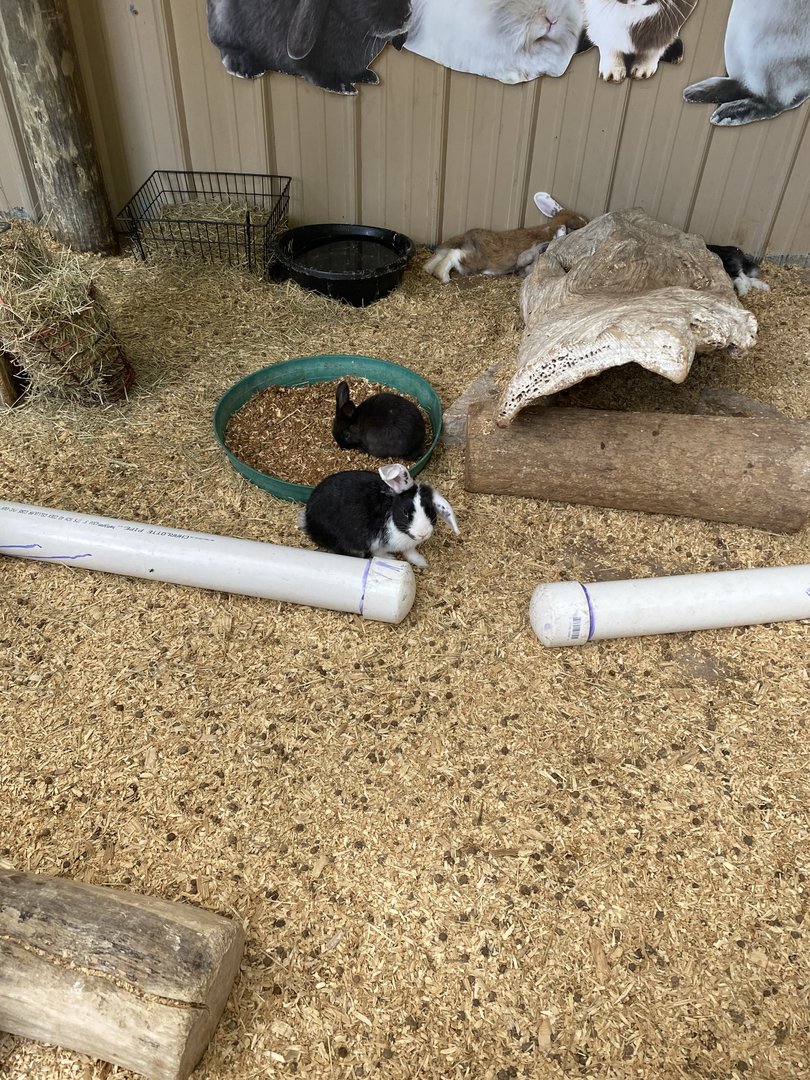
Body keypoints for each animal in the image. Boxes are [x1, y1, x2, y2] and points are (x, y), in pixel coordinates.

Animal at [207, 0, 411, 94]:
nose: (407, 14)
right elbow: (318, 74)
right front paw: (342, 87)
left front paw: (367, 76)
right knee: (226, 49)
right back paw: (244, 67)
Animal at [299, 463, 460, 568]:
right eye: (405, 512)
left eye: (429, 510)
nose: (423, 534)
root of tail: (307, 520)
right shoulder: (376, 543)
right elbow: (379, 553)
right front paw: (391, 558)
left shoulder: (408, 546)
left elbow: (410, 553)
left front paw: (422, 562)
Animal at [423, 207, 588, 283]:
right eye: (576, 226)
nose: (587, 222)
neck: (550, 230)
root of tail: (469, 237)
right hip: (474, 261)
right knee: (454, 255)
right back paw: (443, 276)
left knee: (443, 253)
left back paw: (429, 269)